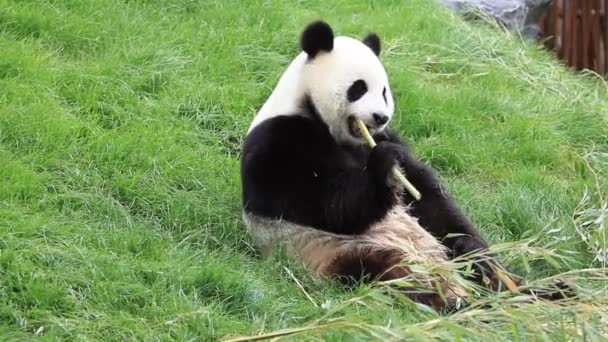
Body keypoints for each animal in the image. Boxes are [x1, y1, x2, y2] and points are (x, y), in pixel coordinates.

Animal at [239, 20, 564, 310]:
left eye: (384, 91)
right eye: (358, 88)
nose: (380, 117)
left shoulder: (388, 137)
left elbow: (428, 196)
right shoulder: (279, 141)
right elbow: (324, 205)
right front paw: (383, 165)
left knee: (483, 265)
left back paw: (545, 289)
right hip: (334, 250)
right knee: (394, 272)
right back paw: (458, 302)